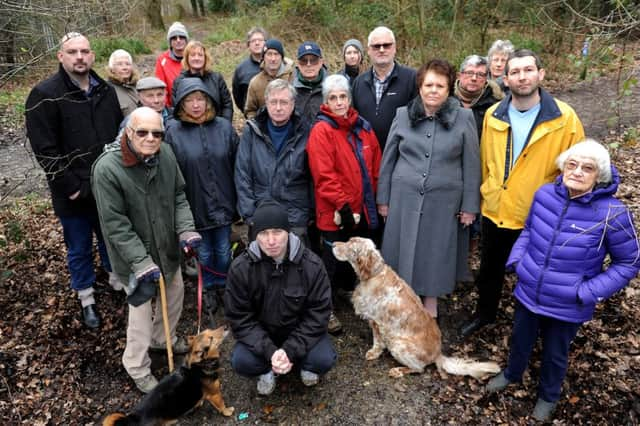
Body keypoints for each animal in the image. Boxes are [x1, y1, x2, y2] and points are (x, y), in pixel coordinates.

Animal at [104, 326, 234, 422]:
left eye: (210, 330)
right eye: (211, 339)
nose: (226, 326)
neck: (200, 365)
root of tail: (132, 418)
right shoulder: (215, 393)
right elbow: (222, 405)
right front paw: (228, 411)